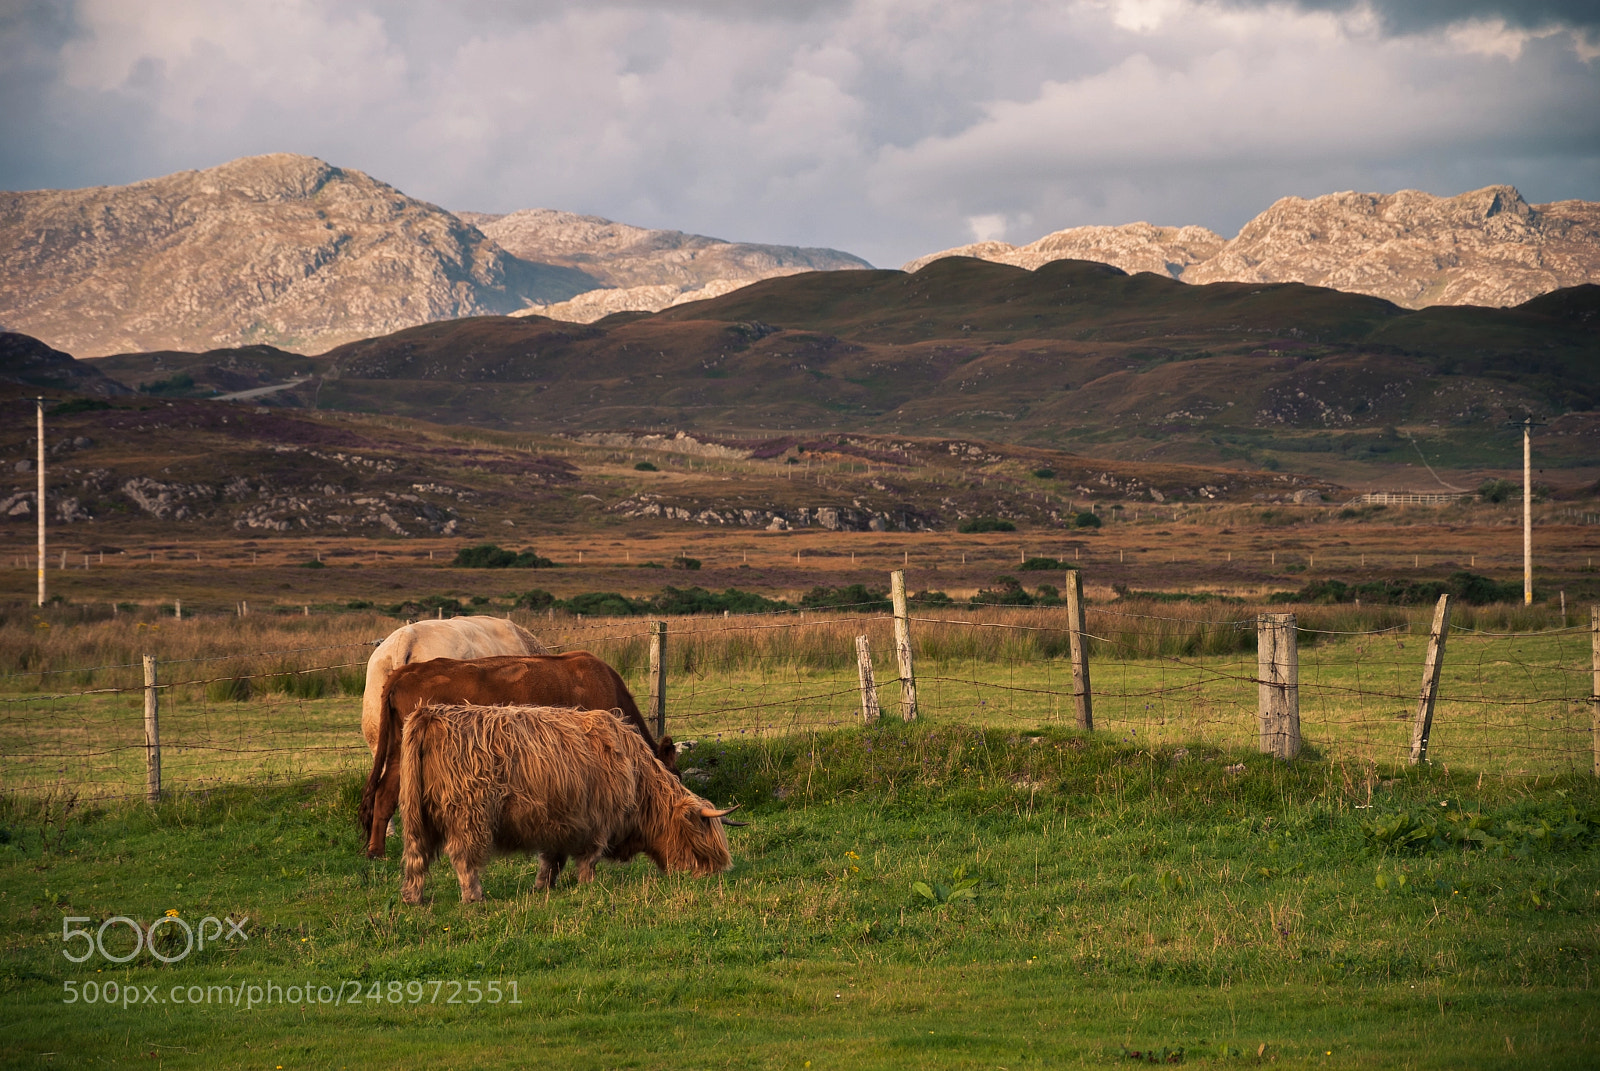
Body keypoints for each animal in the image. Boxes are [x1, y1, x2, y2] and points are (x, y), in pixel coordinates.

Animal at [399, 703, 736, 903]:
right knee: (463, 858)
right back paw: (474, 898)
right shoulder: (597, 822)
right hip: (469, 816)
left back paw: (413, 899)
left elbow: (552, 861)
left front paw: (542, 887)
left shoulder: (557, 823)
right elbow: (587, 860)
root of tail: (430, 713)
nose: (715, 874)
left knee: (416, 857)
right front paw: (588, 886)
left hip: (415, 815)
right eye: (702, 837)